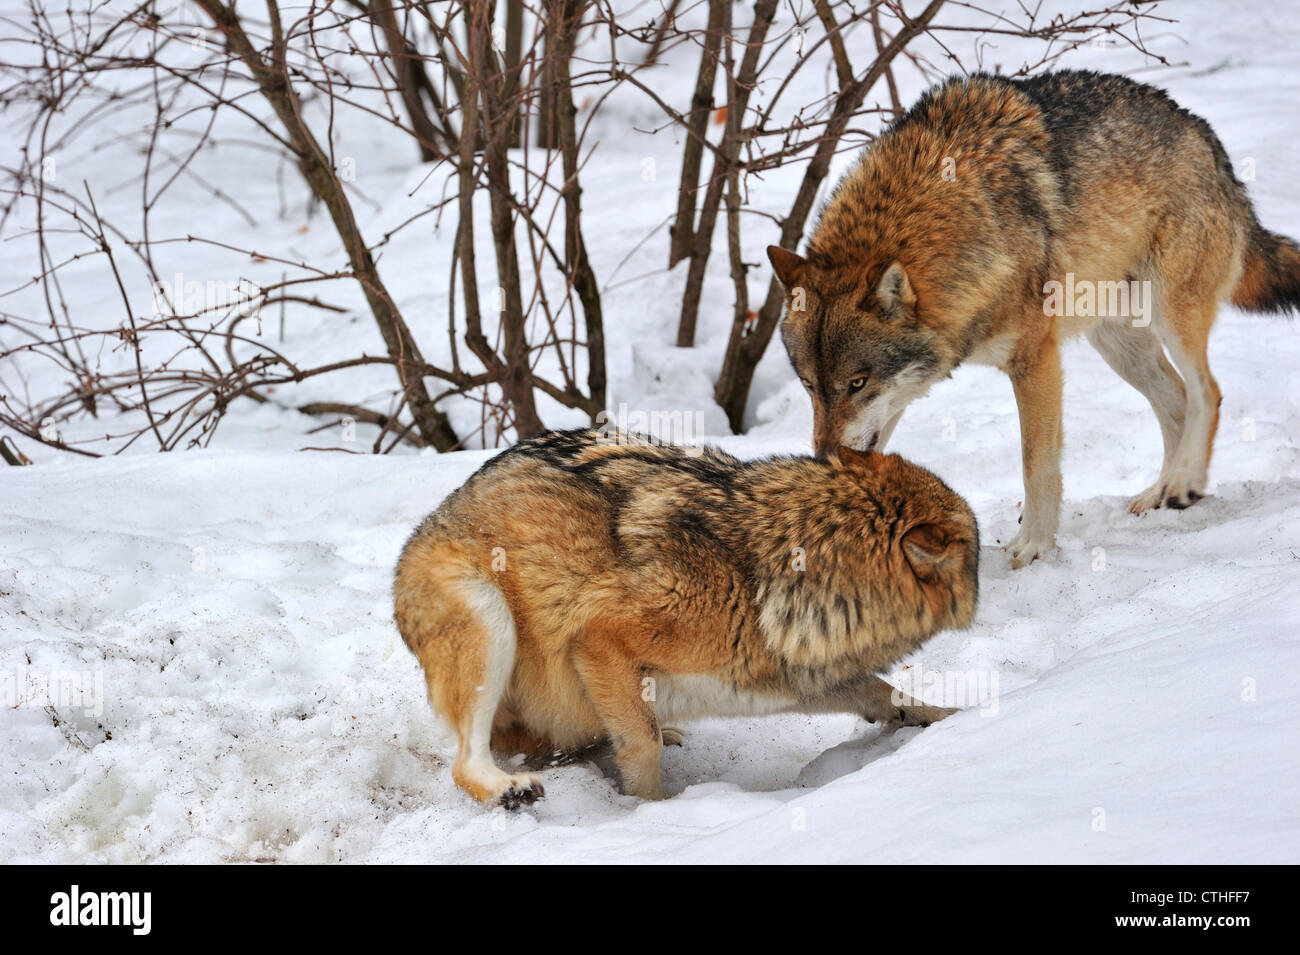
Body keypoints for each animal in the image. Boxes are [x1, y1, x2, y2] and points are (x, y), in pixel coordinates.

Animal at [395, 428, 977, 810]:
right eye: (972, 556)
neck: (758, 575)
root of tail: (430, 521)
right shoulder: (599, 638)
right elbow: (642, 748)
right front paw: (655, 813)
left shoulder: (786, 678)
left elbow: (885, 692)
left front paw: (950, 717)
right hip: (490, 620)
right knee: (466, 762)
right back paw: (506, 788)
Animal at [764, 72, 1300, 566]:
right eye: (810, 386)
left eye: (856, 384)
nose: (822, 458)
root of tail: (1205, 136)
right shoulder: (901, 396)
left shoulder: (1035, 361)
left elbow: (1036, 464)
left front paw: (1034, 547)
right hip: (1120, 348)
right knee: (1179, 404)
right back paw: (1161, 493)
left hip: (1173, 316)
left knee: (1208, 392)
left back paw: (1185, 483)